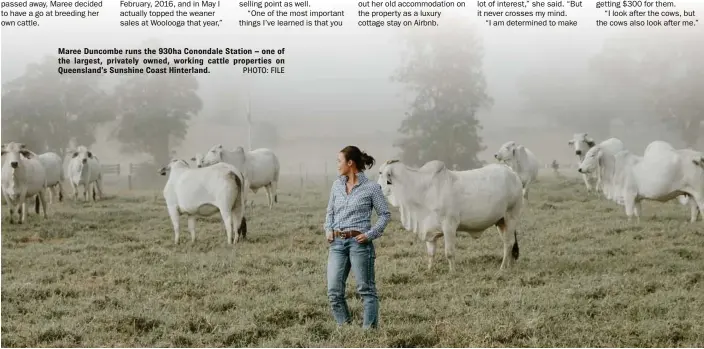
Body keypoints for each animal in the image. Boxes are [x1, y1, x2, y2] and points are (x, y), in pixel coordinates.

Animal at [376, 159, 524, 270]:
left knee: (509, 243)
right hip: (500, 221)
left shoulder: (449, 225)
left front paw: (452, 272)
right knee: (508, 243)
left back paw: (502, 267)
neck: (423, 189)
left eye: (380, 172)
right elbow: (431, 253)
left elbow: (449, 253)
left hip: (511, 216)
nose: (376, 187)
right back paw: (509, 266)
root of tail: (513, 173)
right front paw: (429, 270)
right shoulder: (429, 229)